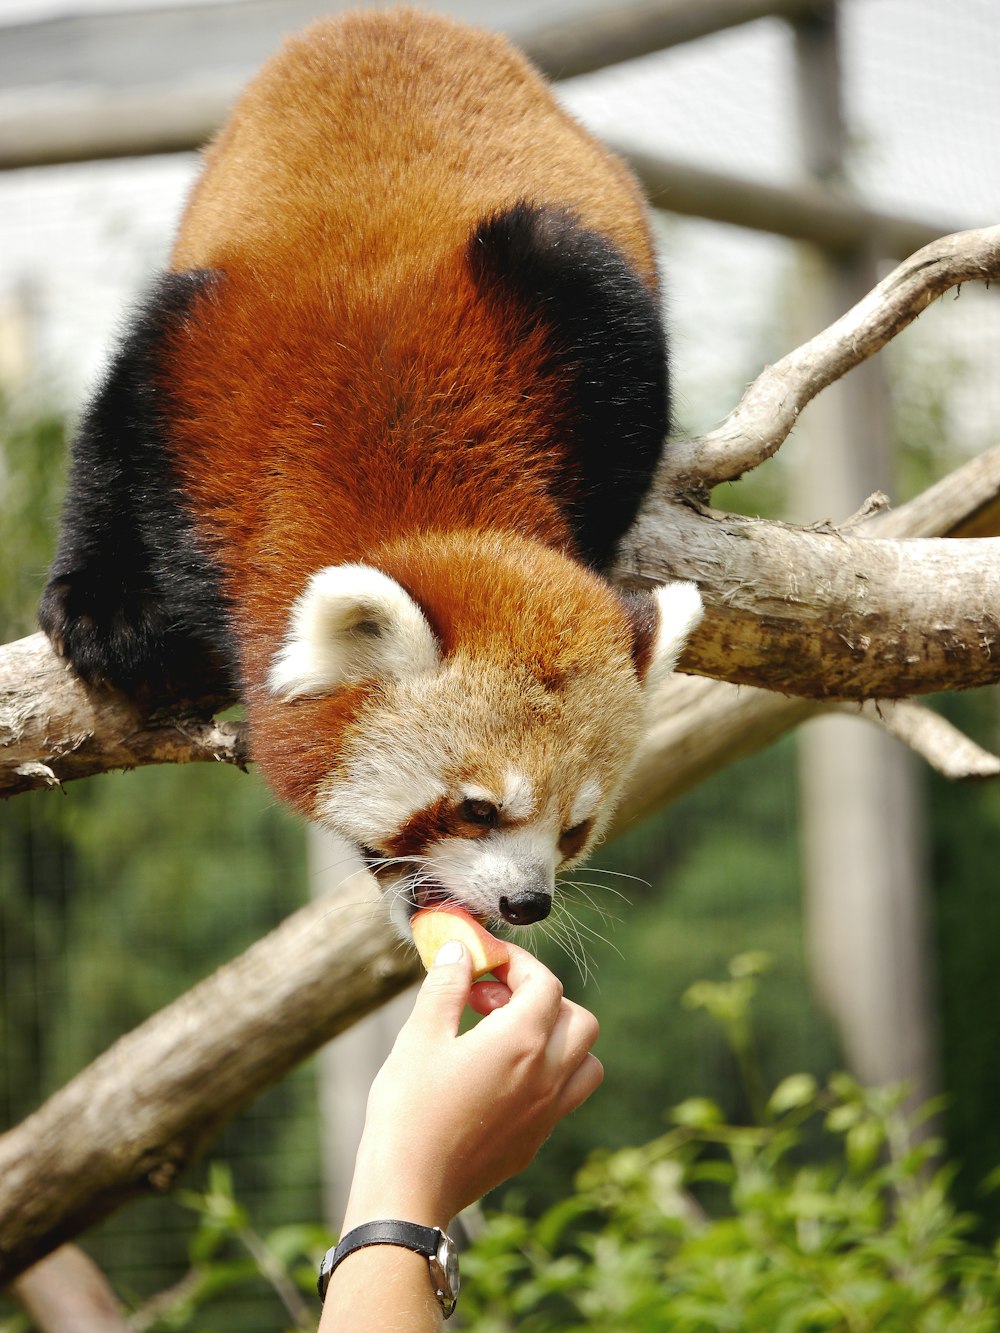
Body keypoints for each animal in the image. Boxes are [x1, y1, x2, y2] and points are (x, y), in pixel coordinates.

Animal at [41, 10, 704, 933]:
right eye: (475, 808)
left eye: (575, 827)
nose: (527, 902)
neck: (397, 474)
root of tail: (385, 17)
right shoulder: (201, 364)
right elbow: (114, 429)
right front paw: (103, 608)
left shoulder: (579, 324)